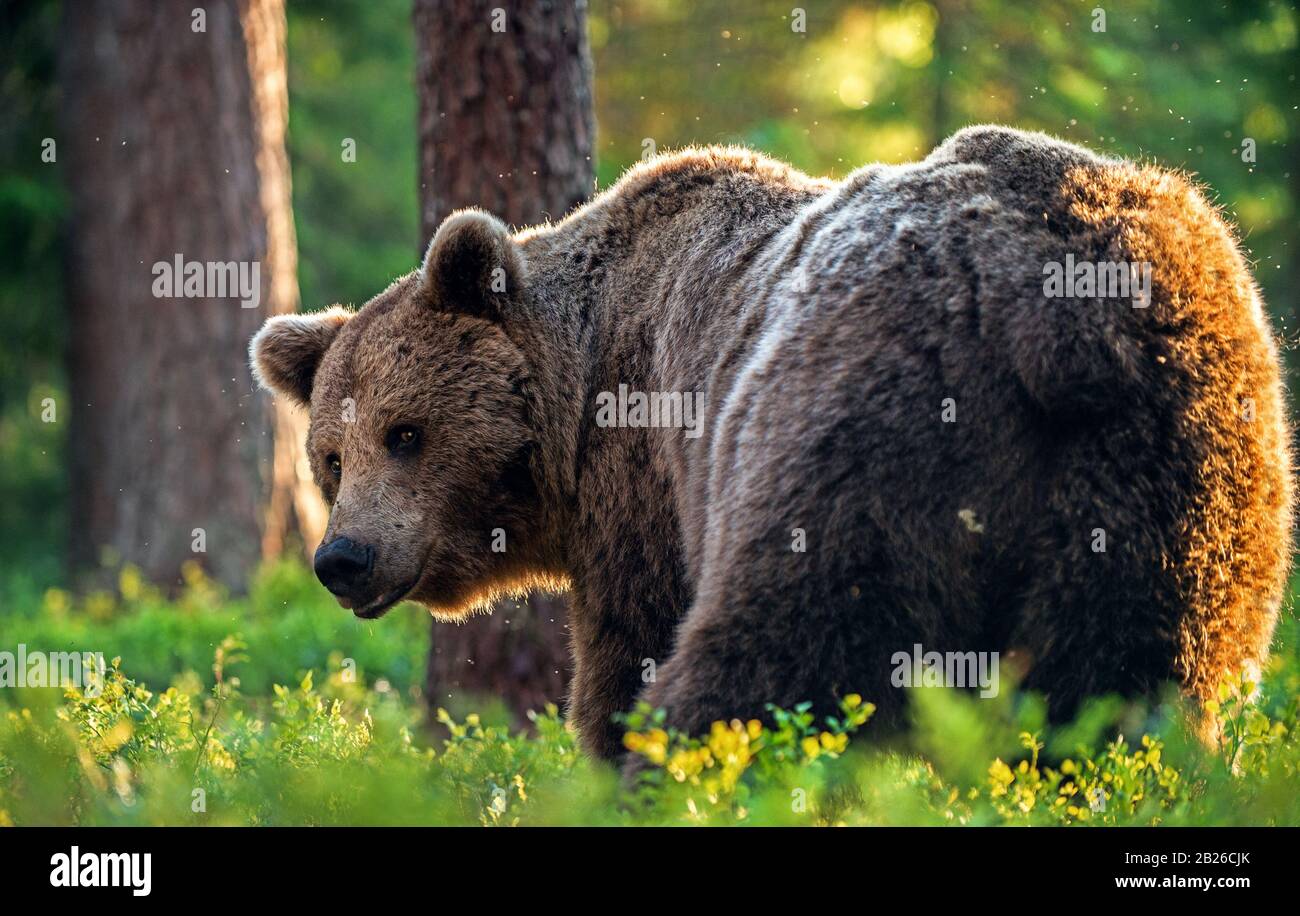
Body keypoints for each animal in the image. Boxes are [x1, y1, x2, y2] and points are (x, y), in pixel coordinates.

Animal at [250, 124, 1289, 758]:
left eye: (407, 432)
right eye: (331, 457)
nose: (343, 558)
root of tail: (1054, 296)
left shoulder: (650, 480)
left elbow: (629, 653)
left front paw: (608, 749)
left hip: (856, 428)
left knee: (780, 646)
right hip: (1178, 480)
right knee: (1128, 684)